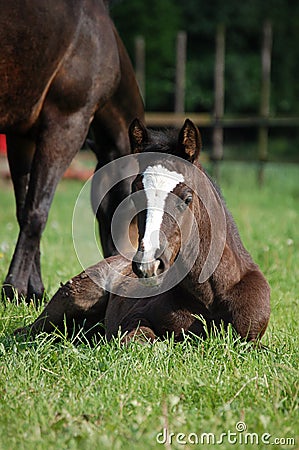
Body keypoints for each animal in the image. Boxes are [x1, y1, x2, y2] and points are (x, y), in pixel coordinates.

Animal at [0, 0, 144, 302]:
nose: (115, 269)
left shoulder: (21, 137)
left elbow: (23, 209)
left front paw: (33, 291)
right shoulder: (67, 125)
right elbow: (36, 213)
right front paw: (14, 288)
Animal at [16, 118, 274, 342]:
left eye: (187, 198)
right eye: (134, 194)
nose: (148, 265)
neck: (208, 297)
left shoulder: (250, 338)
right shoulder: (134, 318)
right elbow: (144, 341)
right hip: (72, 300)